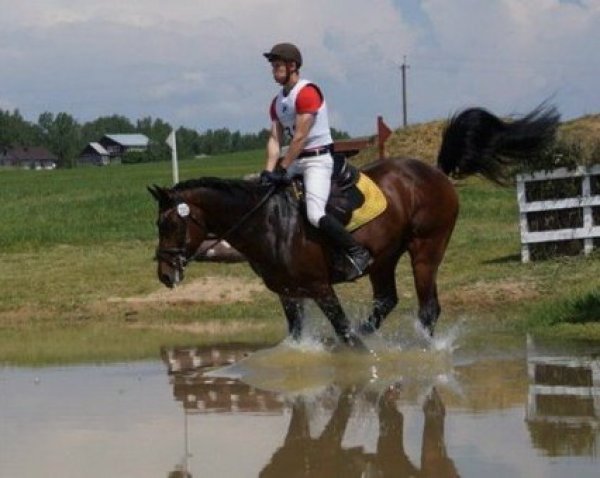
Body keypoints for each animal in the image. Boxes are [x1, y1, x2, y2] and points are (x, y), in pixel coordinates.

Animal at [149, 104, 556, 350]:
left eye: (170, 223)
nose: (165, 274)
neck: (268, 224)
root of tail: (435, 171)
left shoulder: (320, 287)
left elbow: (343, 330)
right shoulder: (288, 293)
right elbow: (299, 335)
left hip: (426, 249)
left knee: (428, 308)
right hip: (384, 257)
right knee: (386, 300)